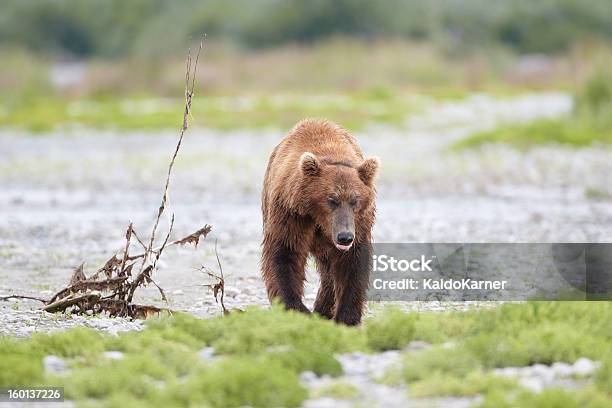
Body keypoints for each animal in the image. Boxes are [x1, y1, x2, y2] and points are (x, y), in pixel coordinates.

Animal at [260, 118, 378, 326]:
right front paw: (296, 309)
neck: (319, 219)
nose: (345, 237)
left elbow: (352, 262)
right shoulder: (290, 214)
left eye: (355, 200)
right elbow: (284, 253)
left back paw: (323, 308)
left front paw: (347, 317)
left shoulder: (359, 222)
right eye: (332, 199)